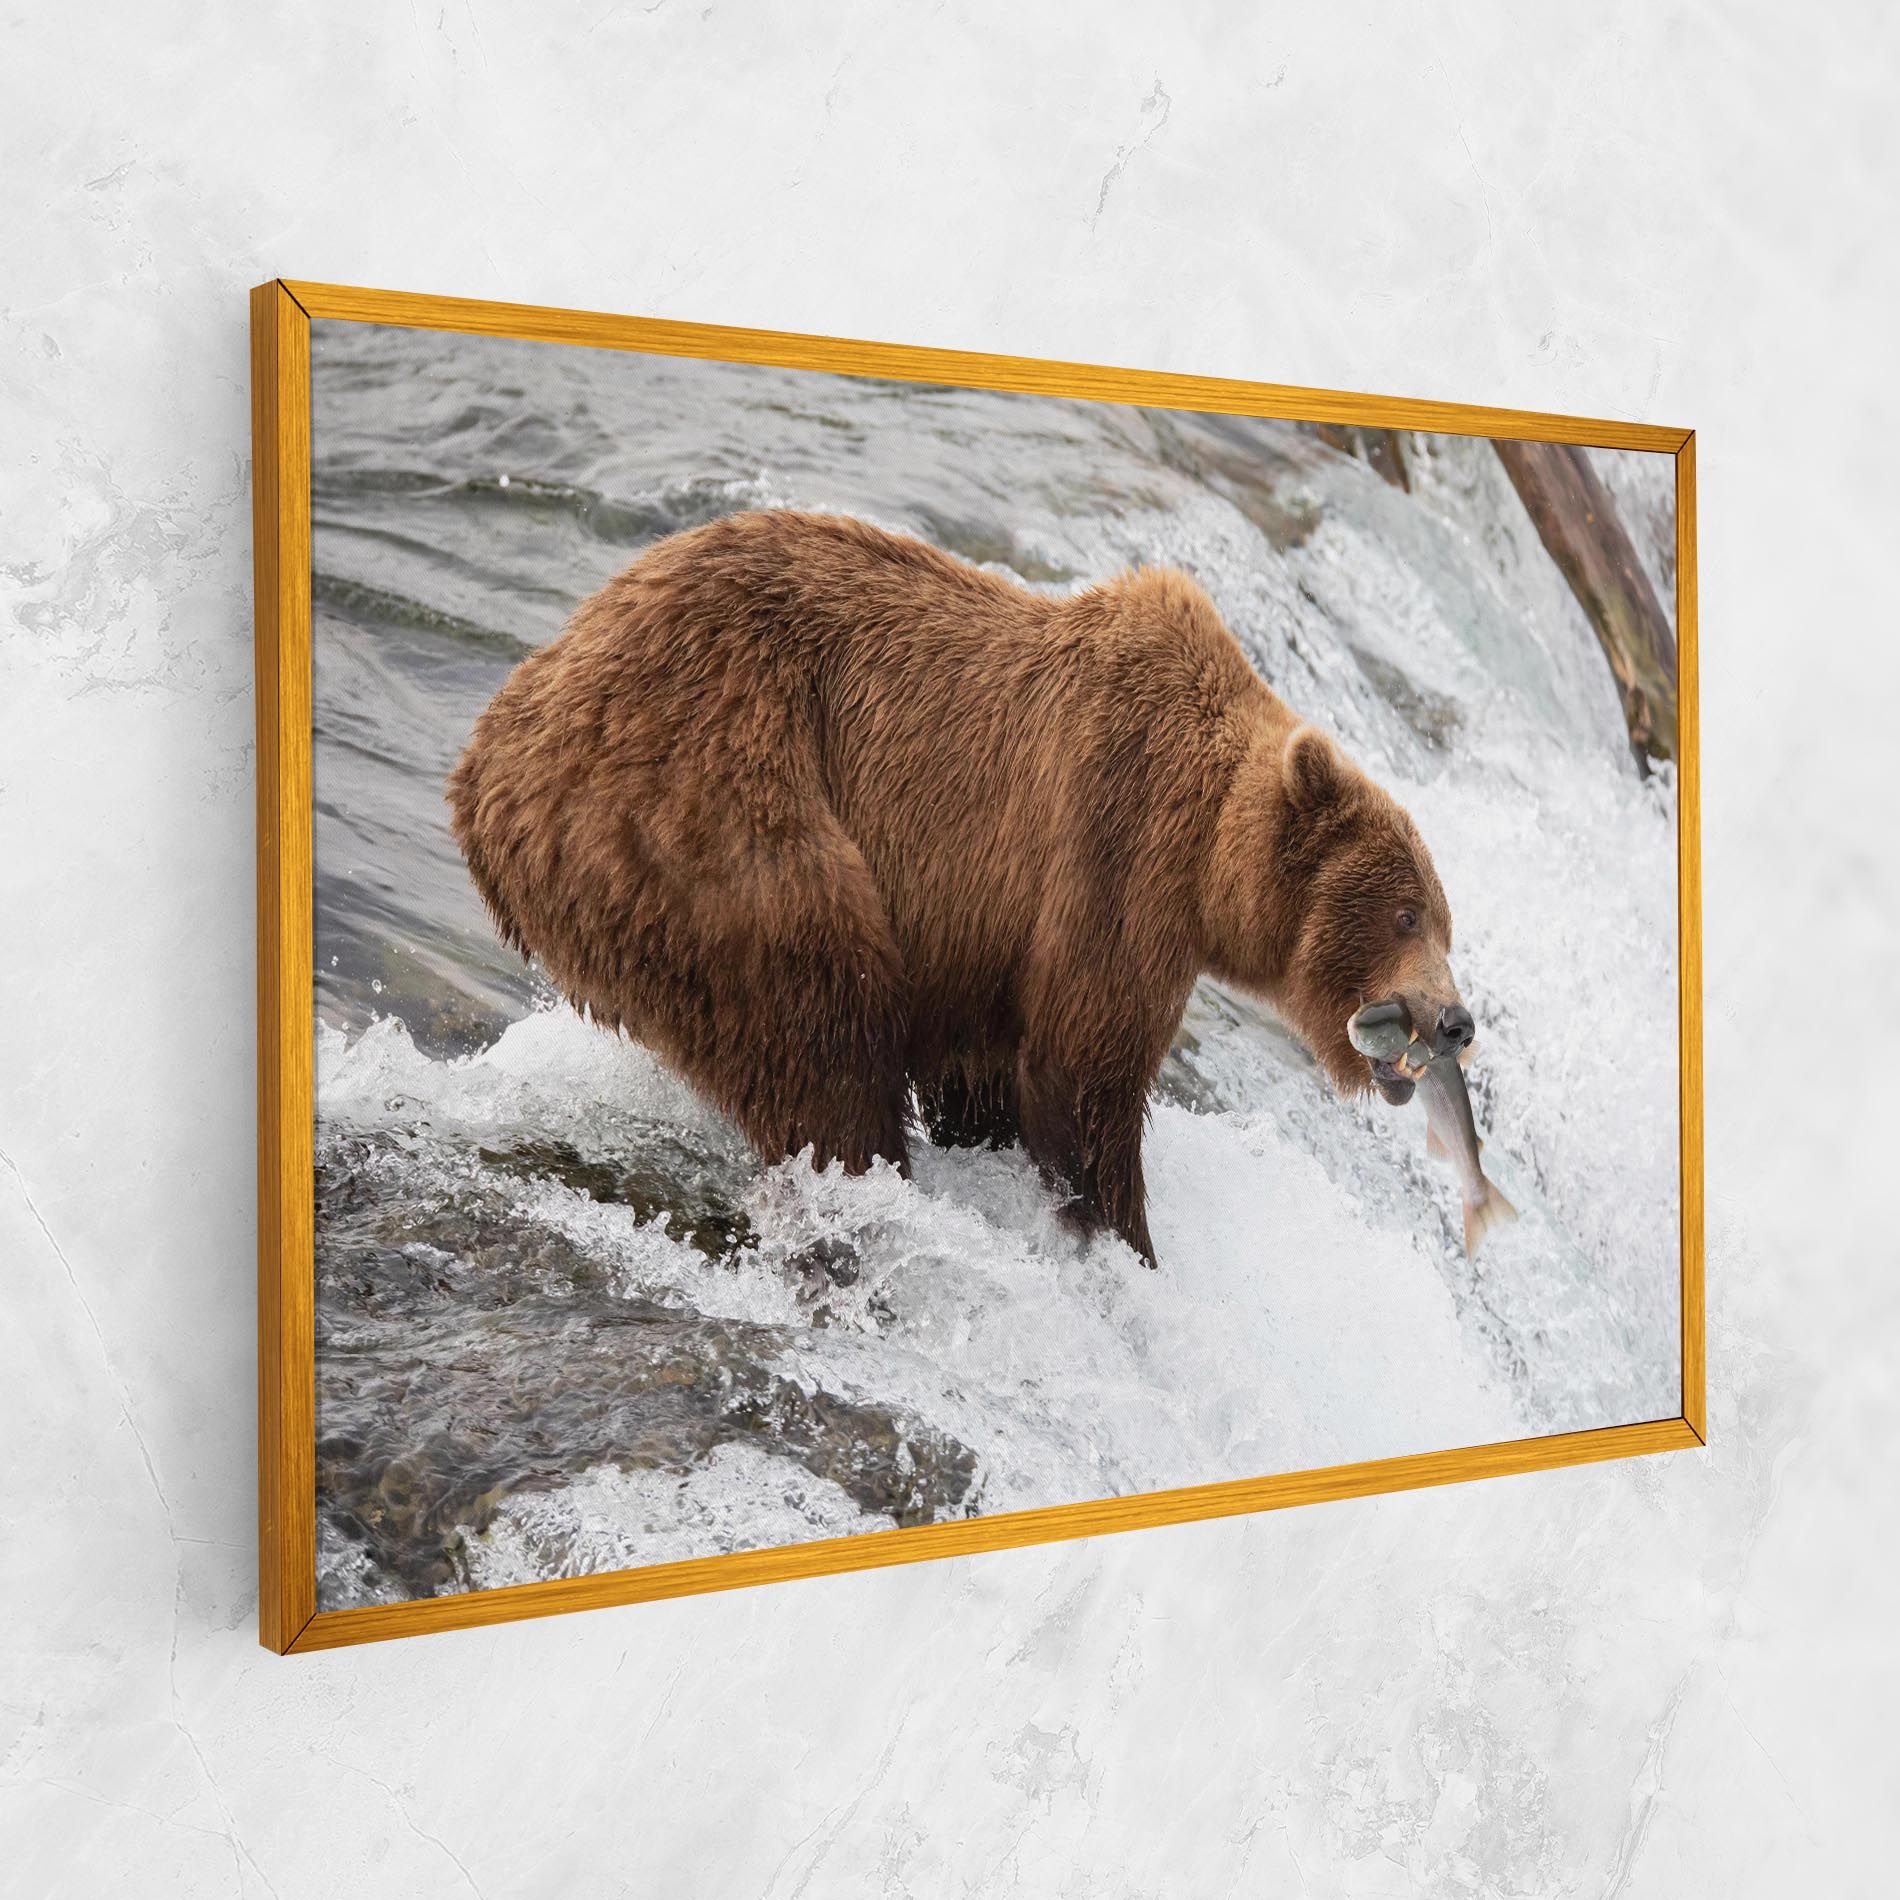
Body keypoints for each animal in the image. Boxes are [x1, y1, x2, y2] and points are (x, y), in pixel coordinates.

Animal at [447, 509, 1470, 1268]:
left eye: (1446, 923)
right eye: (1405, 912)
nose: (1456, 1021)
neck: (1209, 853)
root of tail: (489, 754)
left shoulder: (985, 935)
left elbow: (987, 1072)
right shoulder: (1113, 849)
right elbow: (1084, 1071)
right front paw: (1125, 1240)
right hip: (705, 798)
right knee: (822, 1015)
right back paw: (864, 1182)